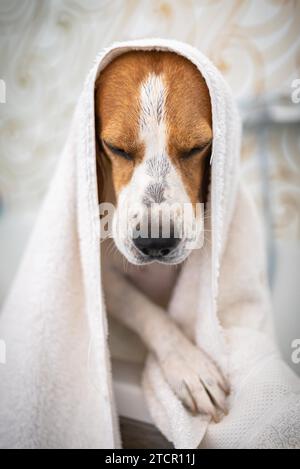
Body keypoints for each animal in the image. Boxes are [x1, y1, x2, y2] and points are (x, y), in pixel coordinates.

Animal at [96, 51, 230, 420]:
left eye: (198, 147)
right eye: (115, 148)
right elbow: (146, 311)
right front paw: (187, 364)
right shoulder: (105, 278)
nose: (155, 241)